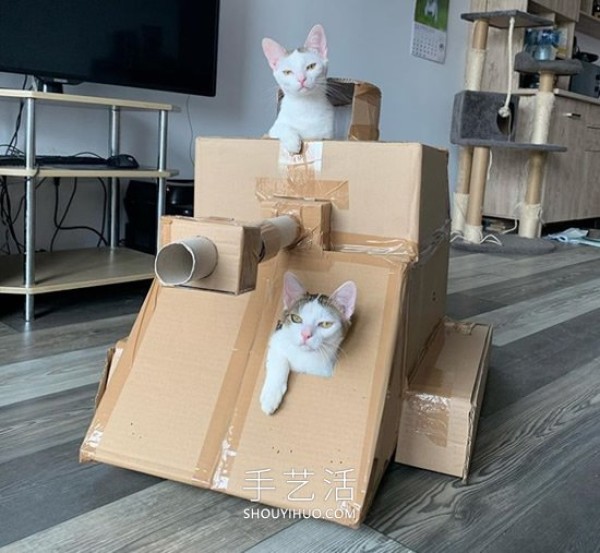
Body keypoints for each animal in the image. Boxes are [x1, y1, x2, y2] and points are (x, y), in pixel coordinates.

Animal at [258, 272, 356, 414]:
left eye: (325, 324)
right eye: (296, 318)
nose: (305, 334)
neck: (304, 356)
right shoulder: (277, 339)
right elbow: (279, 361)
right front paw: (270, 396)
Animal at [262, 23, 336, 153]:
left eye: (311, 66)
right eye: (287, 72)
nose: (301, 79)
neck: (305, 106)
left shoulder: (327, 135)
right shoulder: (272, 131)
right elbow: (281, 127)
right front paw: (292, 141)